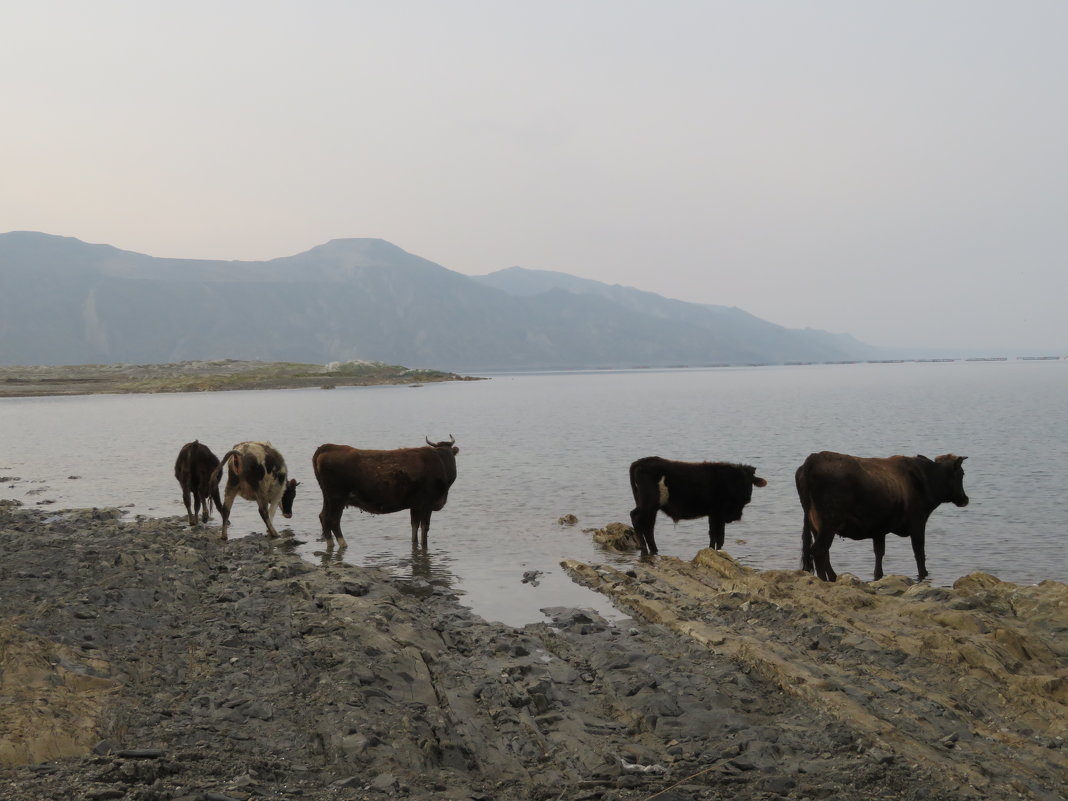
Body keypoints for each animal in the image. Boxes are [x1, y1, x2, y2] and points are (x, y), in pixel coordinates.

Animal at [311, 435, 457, 551]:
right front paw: (424, 546)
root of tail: (330, 447)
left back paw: (330, 544)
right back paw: (343, 544)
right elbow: (425, 527)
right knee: (333, 519)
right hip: (337, 498)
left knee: (323, 516)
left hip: (328, 498)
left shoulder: (415, 505)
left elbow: (414, 526)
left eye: (450, 454)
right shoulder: (427, 503)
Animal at [623, 457, 768, 559]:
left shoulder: (713, 513)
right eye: (739, 480)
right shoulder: (719, 513)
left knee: (648, 526)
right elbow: (719, 535)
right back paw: (644, 549)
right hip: (649, 503)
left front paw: (711, 551)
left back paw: (654, 550)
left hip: (651, 507)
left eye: (751, 481)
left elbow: (713, 534)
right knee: (636, 518)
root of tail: (641, 461)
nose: (747, 497)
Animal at [794, 452, 969, 585]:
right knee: (819, 550)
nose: (965, 499)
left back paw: (833, 577)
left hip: (816, 525)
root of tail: (813, 459)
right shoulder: (918, 521)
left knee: (824, 552)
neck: (926, 478)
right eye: (961, 474)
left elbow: (879, 553)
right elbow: (919, 552)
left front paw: (878, 575)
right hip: (829, 522)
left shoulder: (879, 528)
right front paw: (923, 574)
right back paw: (825, 580)